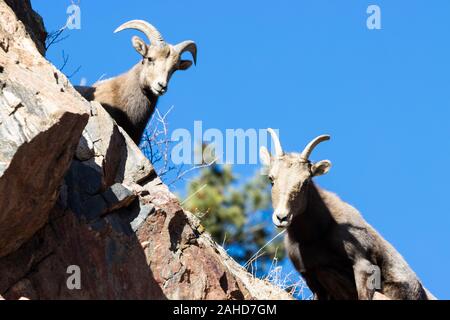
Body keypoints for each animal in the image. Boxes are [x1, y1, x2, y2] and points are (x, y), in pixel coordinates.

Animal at [260, 128, 436, 300]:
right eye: (271, 179)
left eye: (306, 181)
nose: (281, 217)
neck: (315, 235)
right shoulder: (313, 279)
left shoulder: (363, 267)